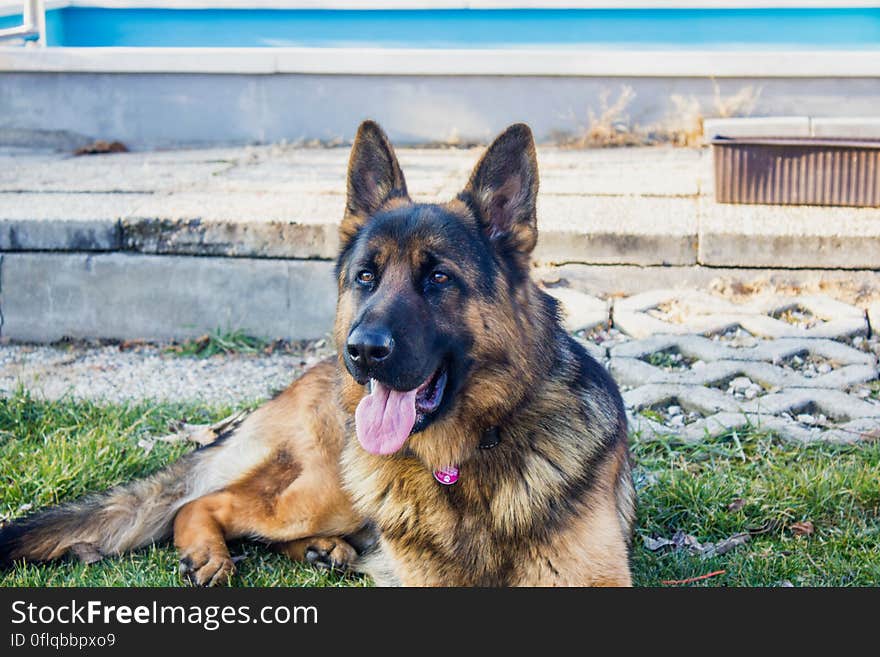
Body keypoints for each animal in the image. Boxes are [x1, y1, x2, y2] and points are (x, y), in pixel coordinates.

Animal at [0, 120, 636, 588]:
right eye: (365, 277)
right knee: (203, 503)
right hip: (327, 490)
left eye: (438, 277)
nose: (363, 350)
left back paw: (323, 552)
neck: (463, 458)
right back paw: (214, 552)